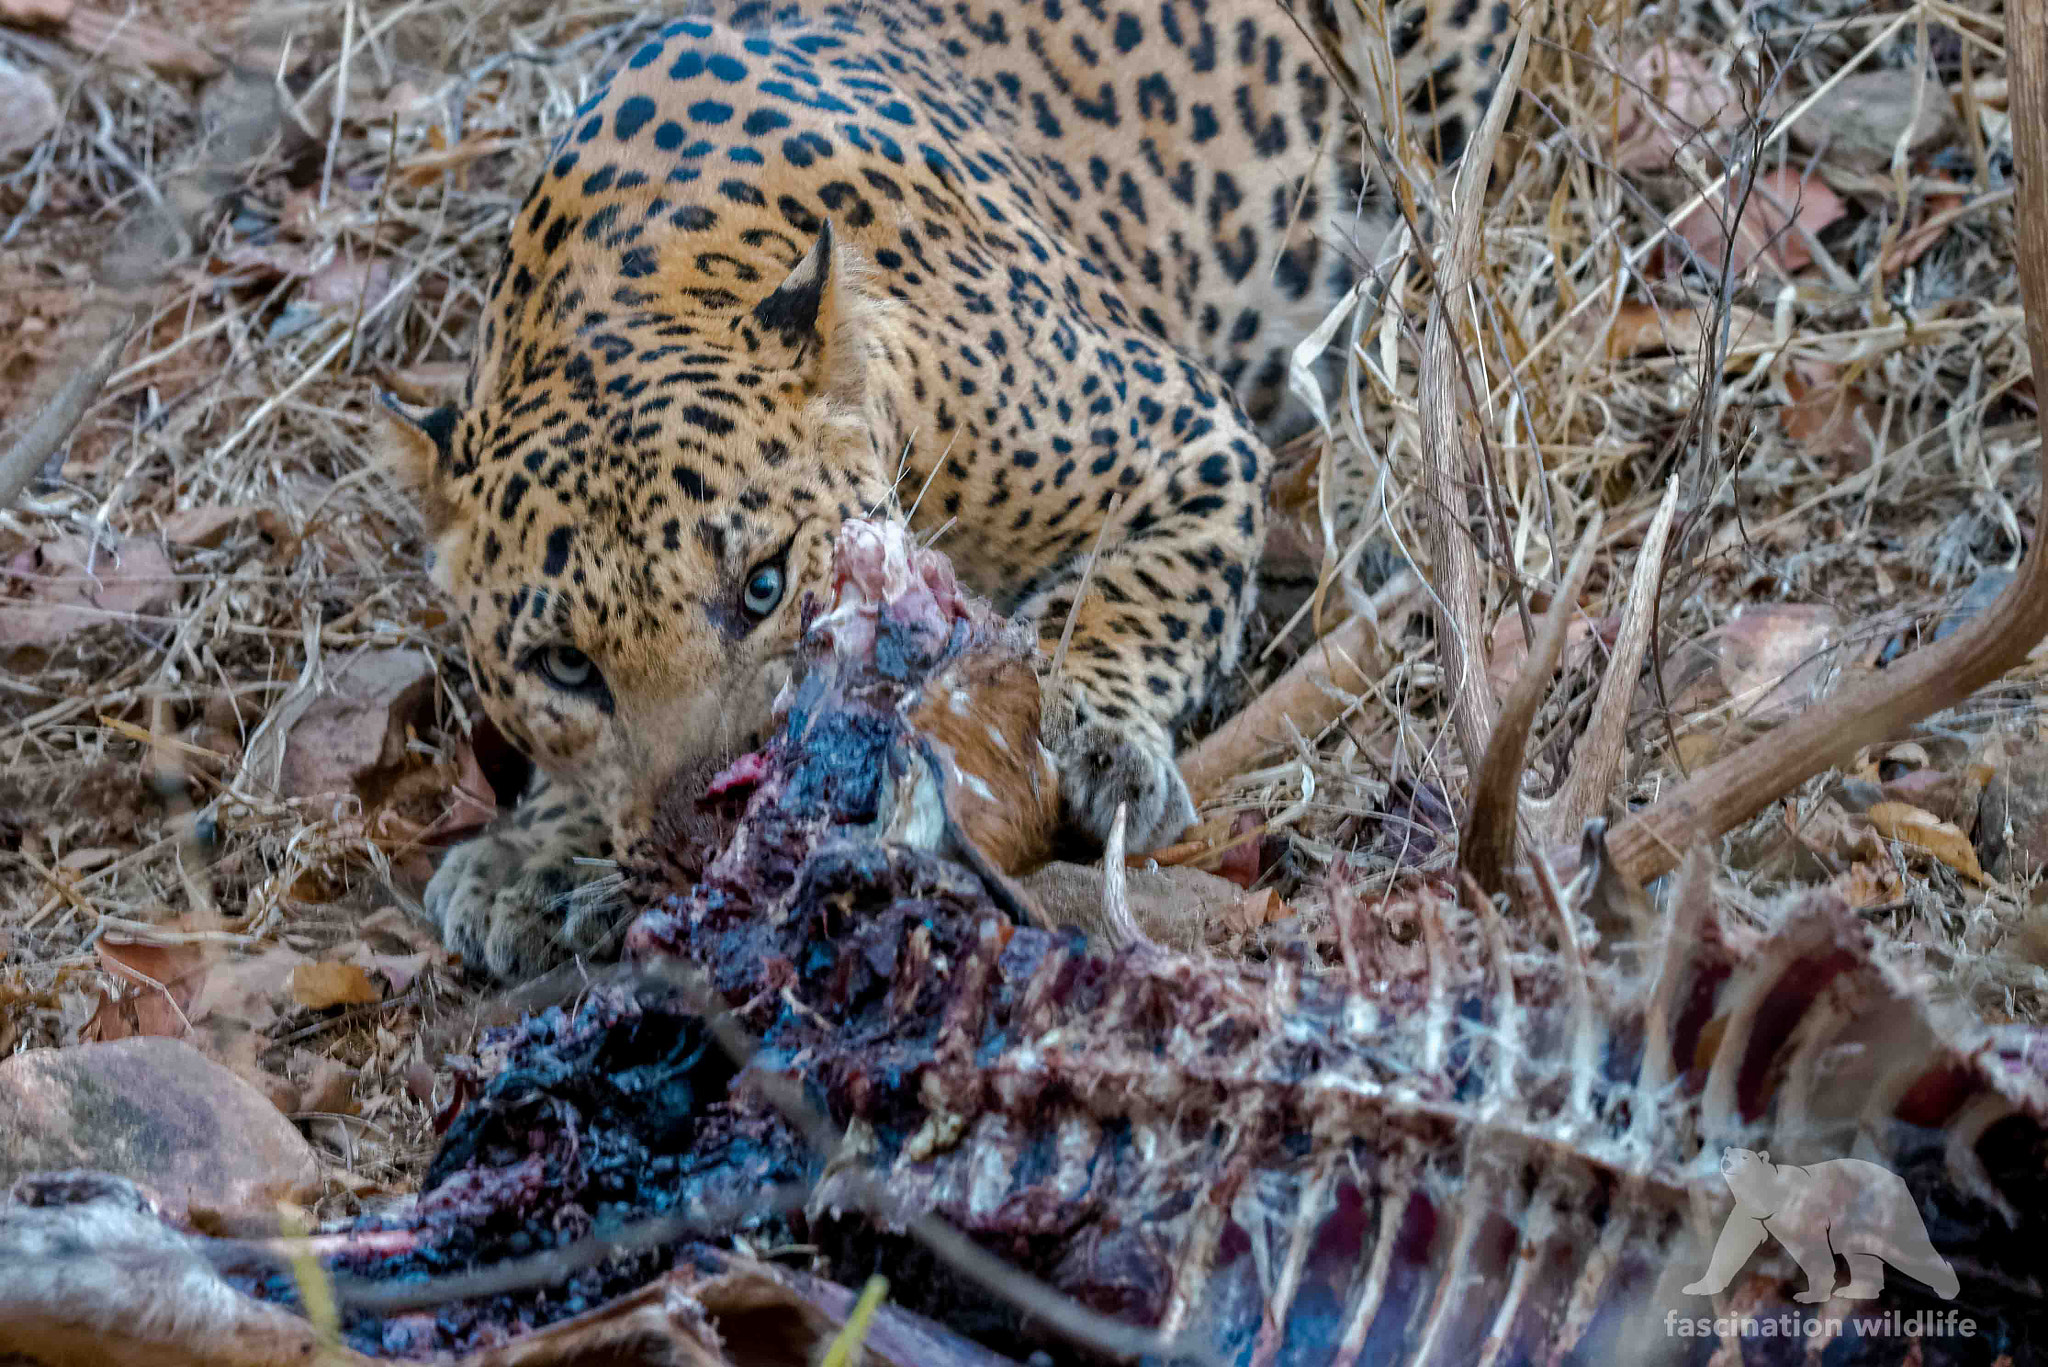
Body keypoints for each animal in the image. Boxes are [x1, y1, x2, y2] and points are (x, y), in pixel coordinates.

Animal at [379, 0, 1514, 978]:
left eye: (761, 585)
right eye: (565, 664)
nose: (706, 831)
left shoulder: (1181, 435)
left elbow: (1119, 594)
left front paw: (1076, 732)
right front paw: (533, 854)